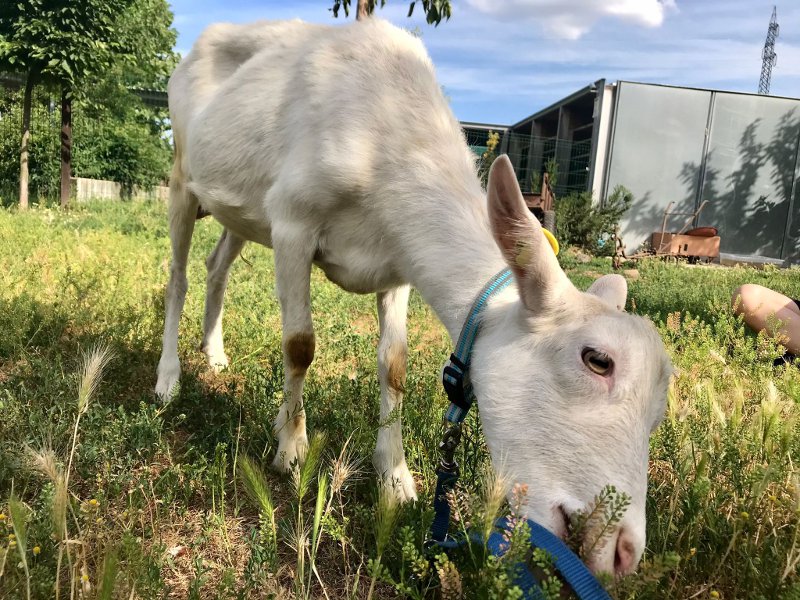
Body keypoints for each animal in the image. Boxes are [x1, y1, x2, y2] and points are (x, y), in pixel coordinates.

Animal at [155, 16, 668, 576]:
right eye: (597, 360)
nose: (621, 551)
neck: (385, 135)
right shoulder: (292, 223)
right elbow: (300, 345)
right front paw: (291, 449)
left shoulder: (397, 264)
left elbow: (394, 363)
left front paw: (396, 478)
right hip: (181, 175)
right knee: (178, 276)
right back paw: (168, 379)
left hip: (242, 211)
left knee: (216, 266)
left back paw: (214, 353)